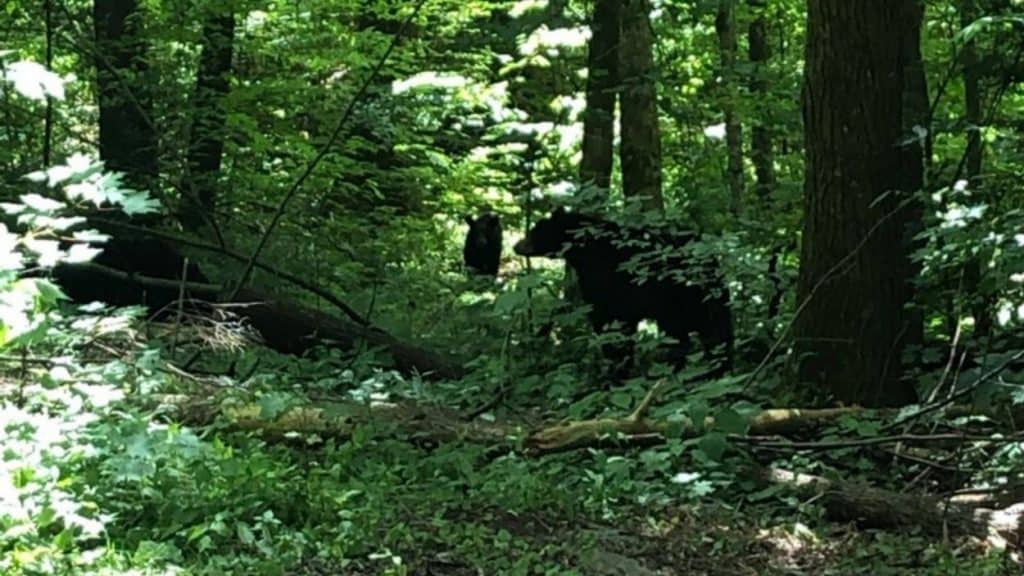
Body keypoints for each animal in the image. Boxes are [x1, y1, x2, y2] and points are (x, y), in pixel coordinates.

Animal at [513, 207, 733, 375]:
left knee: (687, 335)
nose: (516, 245)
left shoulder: (608, 287)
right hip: (707, 298)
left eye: (536, 229)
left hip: (678, 299)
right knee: (715, 332)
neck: (586, 251)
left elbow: (609, 325)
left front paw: (617, 369)